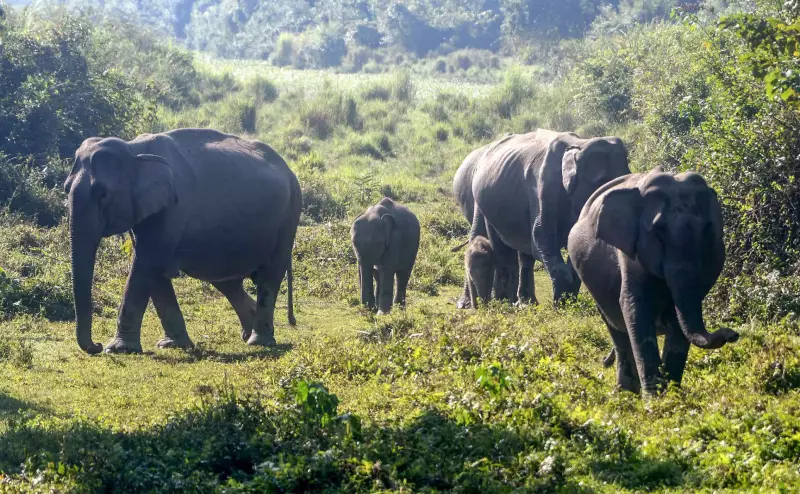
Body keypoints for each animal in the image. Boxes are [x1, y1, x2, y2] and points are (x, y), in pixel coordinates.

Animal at [64, 128, 302, 354]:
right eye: (66, 188)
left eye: (102, 194)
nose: (95, 346)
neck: (134, 150)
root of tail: (289, 171)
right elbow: (151, 267)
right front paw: (172, 345)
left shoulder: (172, 208)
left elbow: (147, 262)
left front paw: (118, 348)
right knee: (226, 280)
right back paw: (248, 332)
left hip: (289, 214)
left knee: (271, 272)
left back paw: (258, 341)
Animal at [453, 129, 630, 307]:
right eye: (602, 185)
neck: (580, 144)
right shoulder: (543, 187)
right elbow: (541, 237)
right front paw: (561, 304)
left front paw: (568, 301)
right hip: (486, 204)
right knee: (501, 249)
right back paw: (497, 302)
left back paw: (524, 303)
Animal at [567, 167, 740, 395]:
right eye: (658, 232)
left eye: (707, 231)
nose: (732, 334)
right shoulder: (630, 253)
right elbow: (634, 308)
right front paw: (656, 398)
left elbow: (678, 317)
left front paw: (672, 396)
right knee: (616, 328)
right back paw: (626, 391)